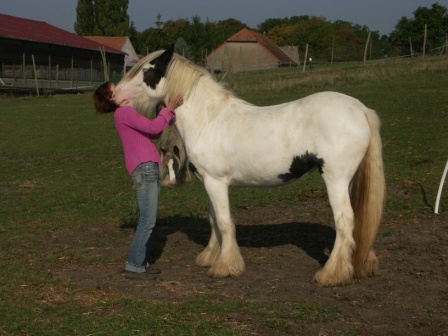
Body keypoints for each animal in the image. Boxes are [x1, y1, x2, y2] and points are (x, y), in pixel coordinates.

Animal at [117, 45, 386, 286]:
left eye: (147, 72)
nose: (115, 95)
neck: (208, 119)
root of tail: (361, 109)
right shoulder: (208, 183)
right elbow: (214, 220)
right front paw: (210, 256)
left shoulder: (216, 183)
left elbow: (224, 222)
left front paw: (225, 267)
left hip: (335, 179)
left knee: (345, 221)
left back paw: (331, 275)